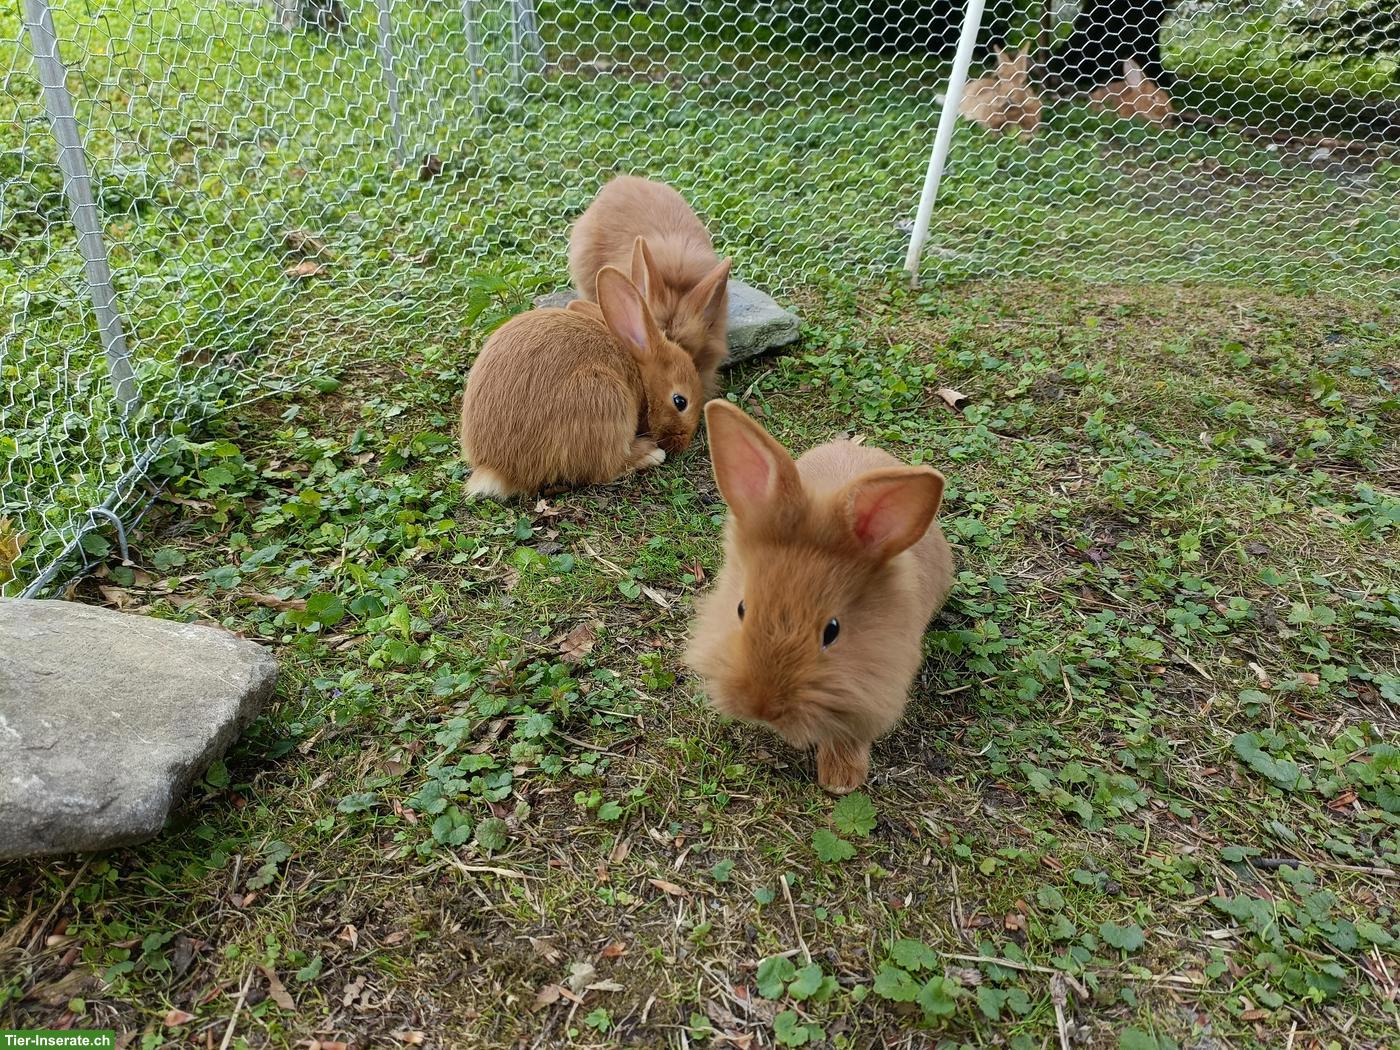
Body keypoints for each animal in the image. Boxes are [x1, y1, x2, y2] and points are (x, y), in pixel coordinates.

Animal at [459, 266, 702, 499]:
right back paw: (651, 454)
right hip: (604, 400)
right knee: (605, 468)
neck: (638, 371)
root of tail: (498, 470)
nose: (684, 442)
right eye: (680, 401)